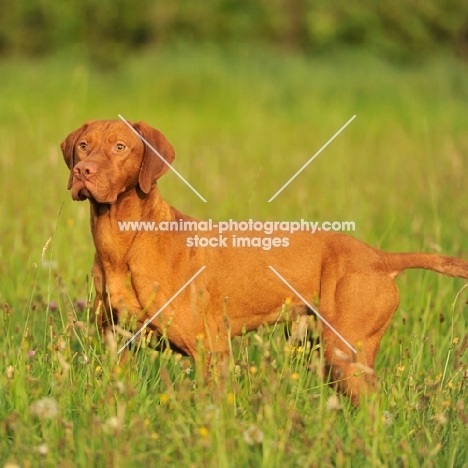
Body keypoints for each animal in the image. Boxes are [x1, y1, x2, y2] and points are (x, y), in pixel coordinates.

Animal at [62, 119, 468, 404]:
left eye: (120, 147)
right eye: (83, 146)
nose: (83, 171)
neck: (123, 244)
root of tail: (378, 257)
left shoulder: (212, 351)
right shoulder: (118, 347)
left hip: (344, 353)